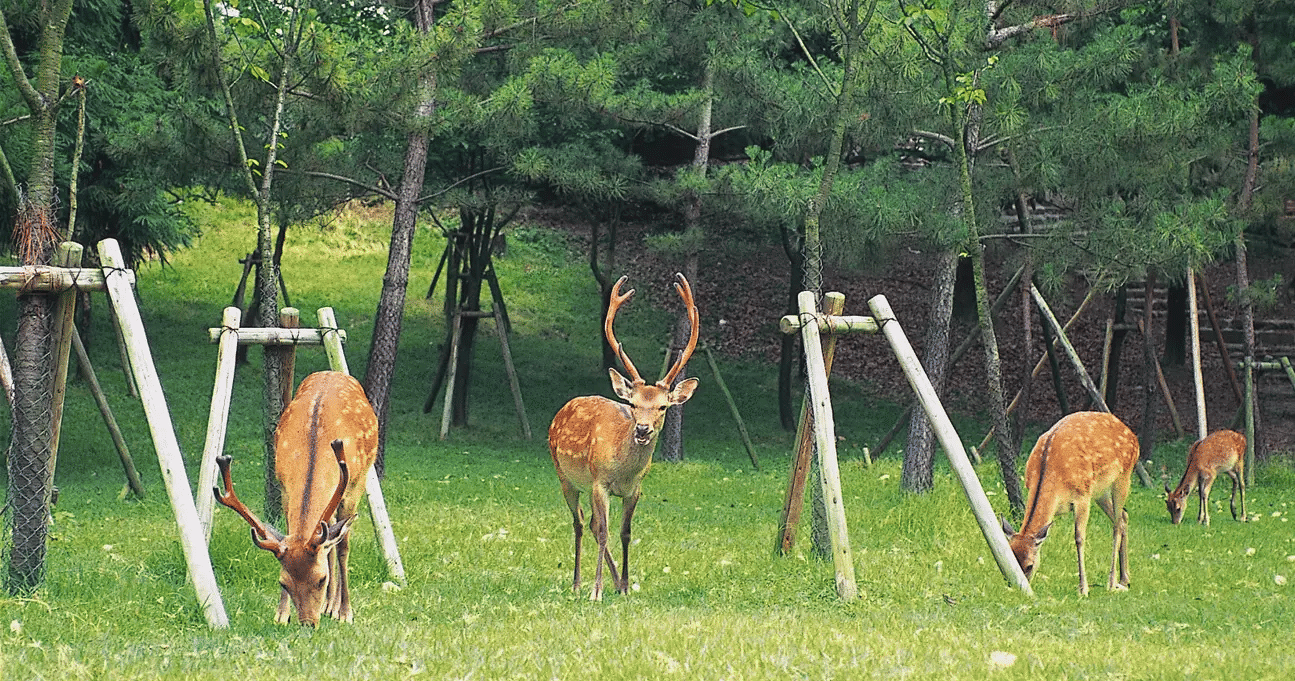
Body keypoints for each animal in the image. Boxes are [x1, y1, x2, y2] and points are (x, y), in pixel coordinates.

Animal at [214, 370, 378, 626]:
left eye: (321, 579)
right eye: (283, 582)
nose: (308, 623)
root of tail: (332, 372)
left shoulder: (353, 486)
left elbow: (343, 547)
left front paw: (346, 612)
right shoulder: (284, 487)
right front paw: (281, 614)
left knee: (337, 541)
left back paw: (336, 607)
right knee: (328, 534)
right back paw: (329, 605)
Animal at [548, 273, 699, 601]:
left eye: (663, 406)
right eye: (632, 404)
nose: (642, 429)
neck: (623, 471)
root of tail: (563, 408)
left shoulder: (635, 490)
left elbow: (625, 533)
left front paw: (627, 586)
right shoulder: (599, 483)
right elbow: (605, 532)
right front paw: (596, 591)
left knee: (592, 523)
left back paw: (615, 582)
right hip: (565, 475)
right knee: (581, 522)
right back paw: (577, 583)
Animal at [1001, 411, 1139, 596]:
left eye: (1029, 565)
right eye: (1009, 561)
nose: (1017, 588)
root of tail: (1133, 435)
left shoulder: (1082, 496)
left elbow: (1079, 538)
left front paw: (1083, 589)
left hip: (1123, 477)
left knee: (1117, 524)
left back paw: (1112, 583)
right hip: (1100, 492)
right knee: (1124, 516)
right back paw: (1124, 579)